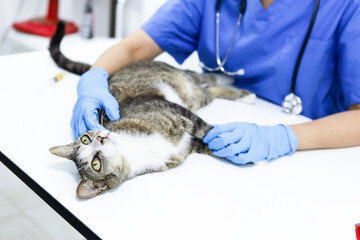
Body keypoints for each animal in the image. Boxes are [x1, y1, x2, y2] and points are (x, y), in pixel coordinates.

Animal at [48, 21, 256, 199]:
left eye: (85, 138)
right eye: (95, 163)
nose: (101, 138)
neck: (131, 148)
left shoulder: (177, 111)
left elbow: (208, 129)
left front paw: (243, 146)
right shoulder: (187, 145)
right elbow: (212, 144)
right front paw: (238, 150)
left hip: (176, 75)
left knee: (203, 77)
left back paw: (229, 78)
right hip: (195, 97)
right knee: (208, 90)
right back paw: (241, 92)